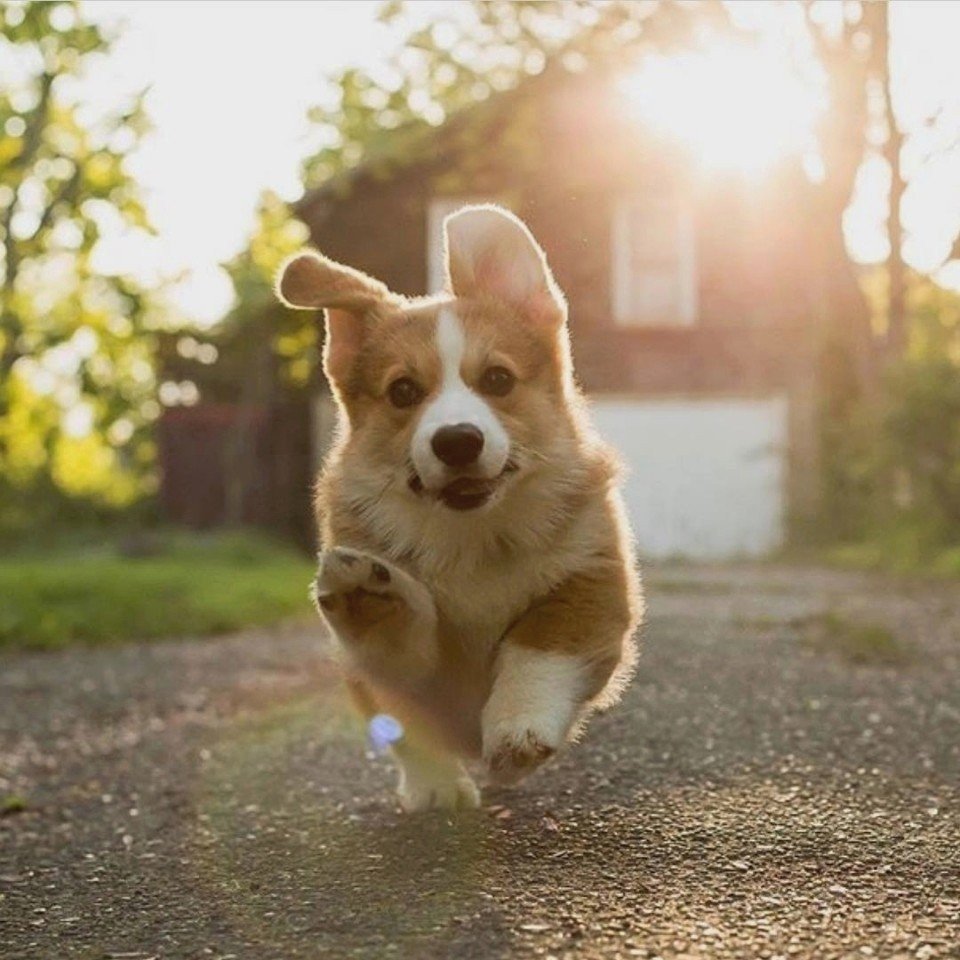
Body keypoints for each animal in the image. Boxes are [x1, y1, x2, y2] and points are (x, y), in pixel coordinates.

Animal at [274, 204, 640, 808]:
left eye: (497, 379)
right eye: (402, 391)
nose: (458, 441)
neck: (469, 536)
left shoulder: (591, 584)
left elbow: (539, 645)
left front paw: (518, 728)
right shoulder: (382, 673)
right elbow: (406, 703)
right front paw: (437, 788)